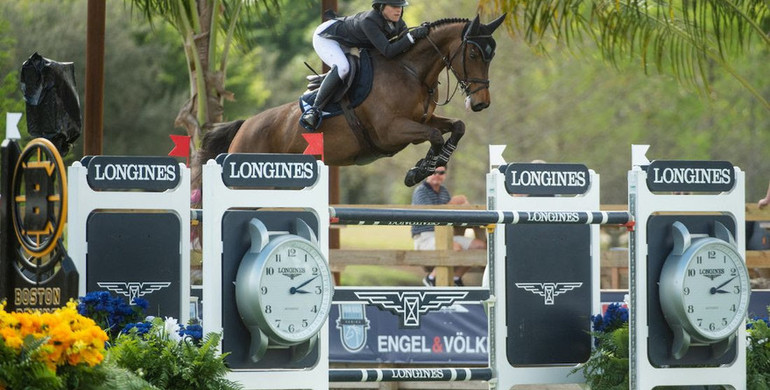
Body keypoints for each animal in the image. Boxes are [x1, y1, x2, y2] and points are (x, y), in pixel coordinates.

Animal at [194, 13, 504, 187]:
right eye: (473, 54)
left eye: (492, 56)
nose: (481, 103)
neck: (411, 71)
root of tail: (245, 126)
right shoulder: (392, 131)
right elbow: (434, 135)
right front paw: (420, 171)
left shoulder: (423, 119)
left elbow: (457, 126)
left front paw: (430, 163)